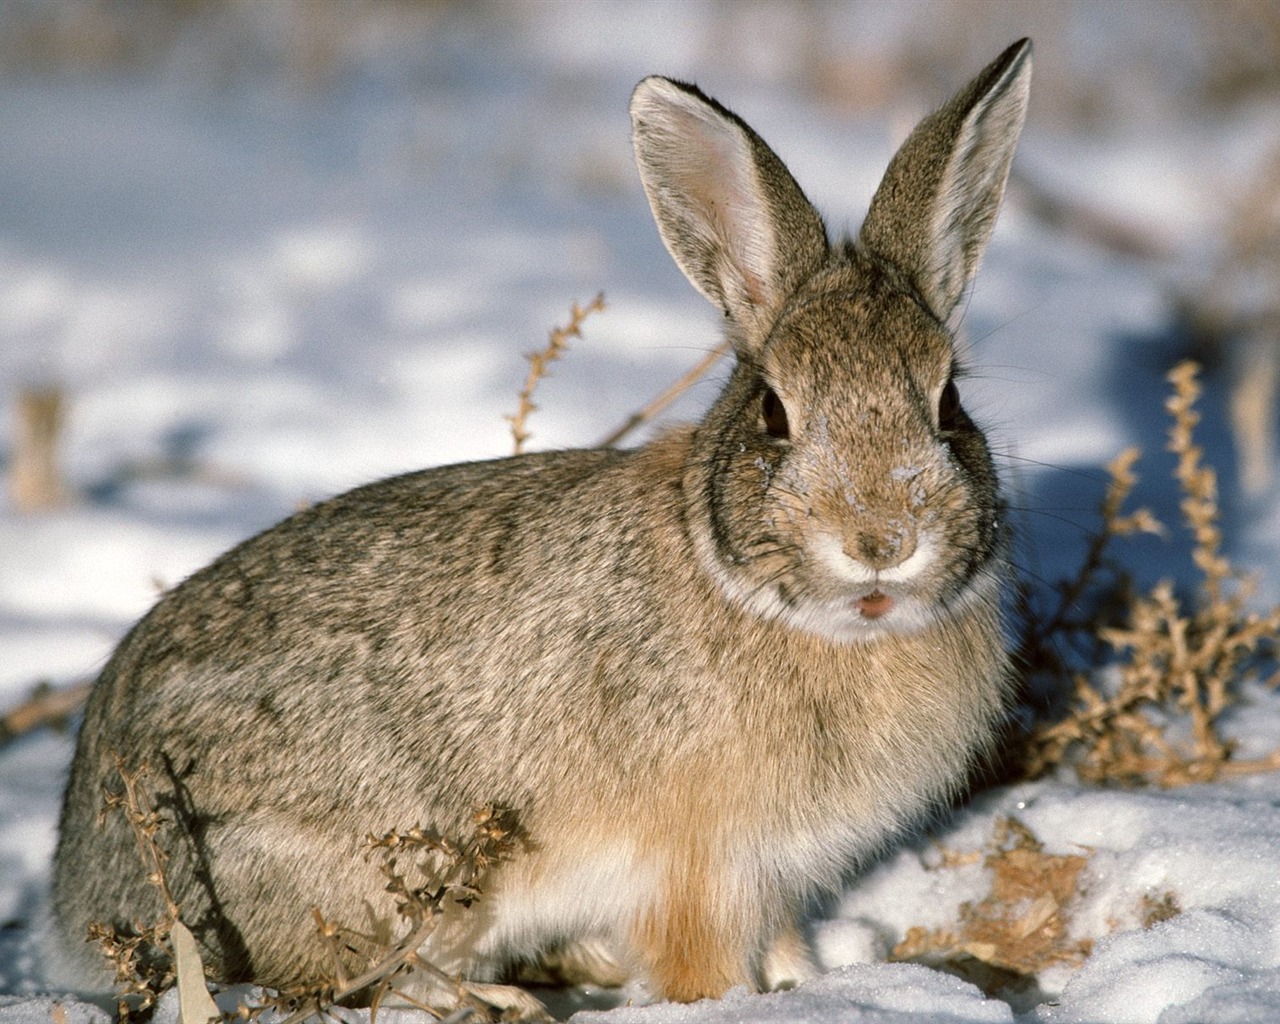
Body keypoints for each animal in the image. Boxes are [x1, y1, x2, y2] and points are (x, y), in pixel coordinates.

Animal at [52, 38, 1029, 1013]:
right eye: (774, 413)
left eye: (948, 404)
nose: (882, 541)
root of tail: (80, 885)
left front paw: (807, 983)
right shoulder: (698, 869)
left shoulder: (774, 875)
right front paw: (732, 1002)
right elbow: (699, 964)